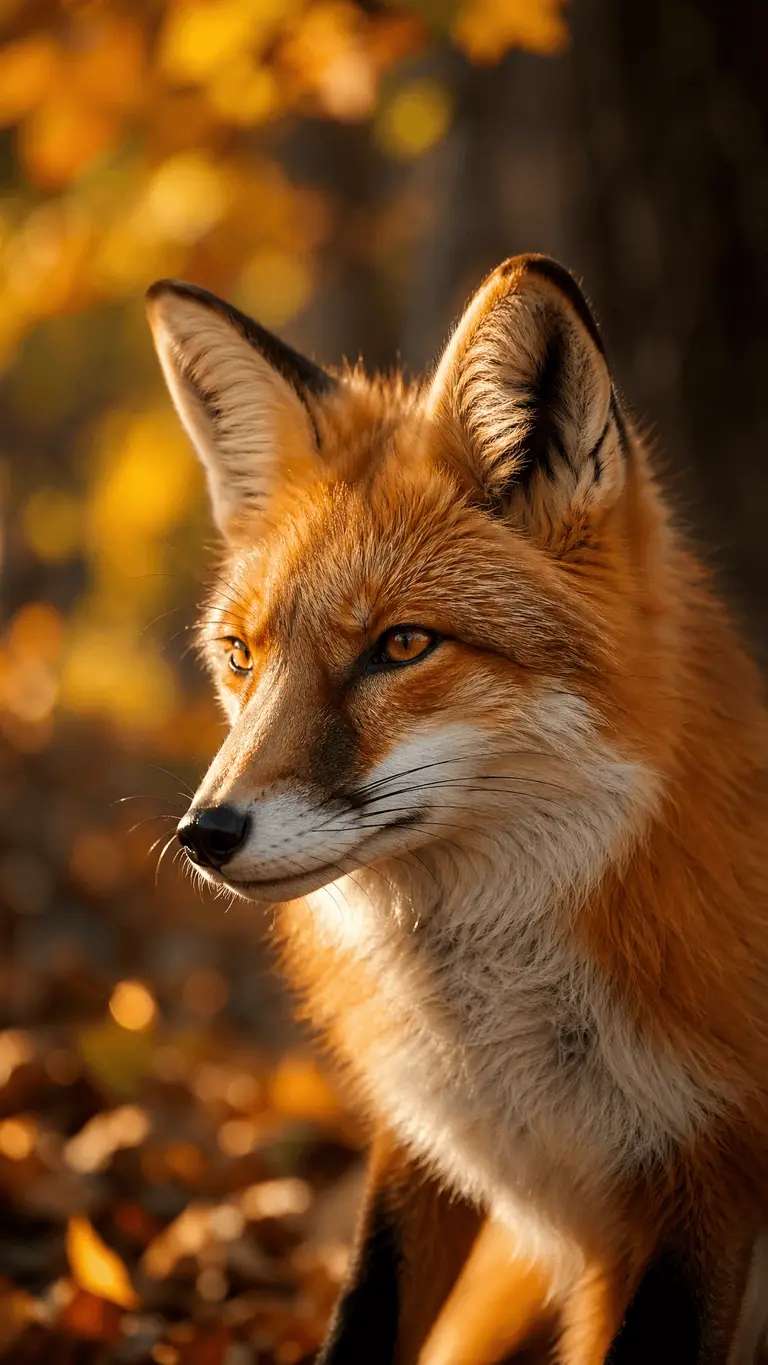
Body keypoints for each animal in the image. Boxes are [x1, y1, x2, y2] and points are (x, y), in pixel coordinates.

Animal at [146, 254, 768, 1364]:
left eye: (402, 645)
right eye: (241, 656)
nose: (204, 835)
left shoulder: (710, 1175)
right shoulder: (424, 1153)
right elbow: (363, 1314)